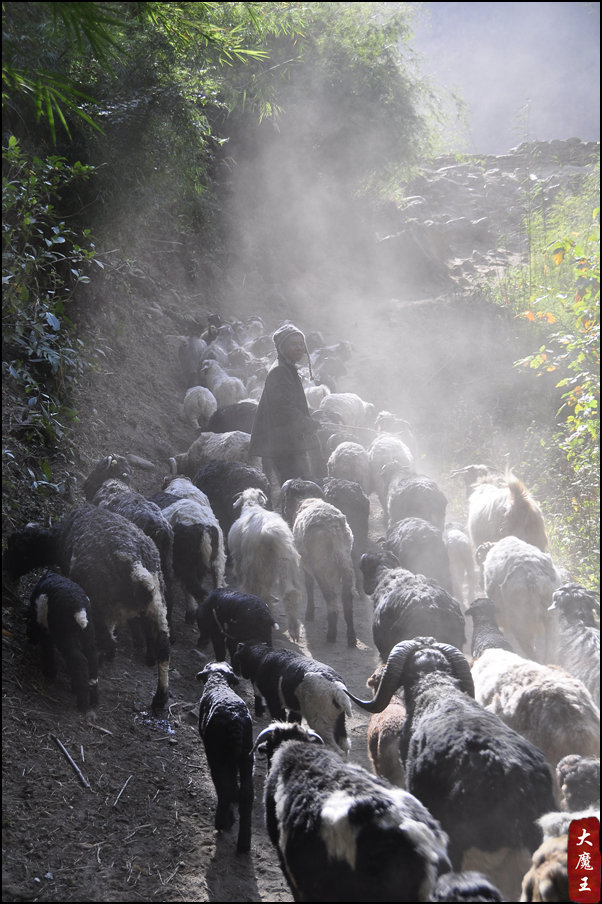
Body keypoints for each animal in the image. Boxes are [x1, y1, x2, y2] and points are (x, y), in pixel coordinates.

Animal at [226, 488, 302, 644]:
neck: (252, 505)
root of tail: (269, 532)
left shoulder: (239, 562)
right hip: (286, 562)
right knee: (290, 592)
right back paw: (294, 630)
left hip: (253, 565)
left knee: (258, 591)